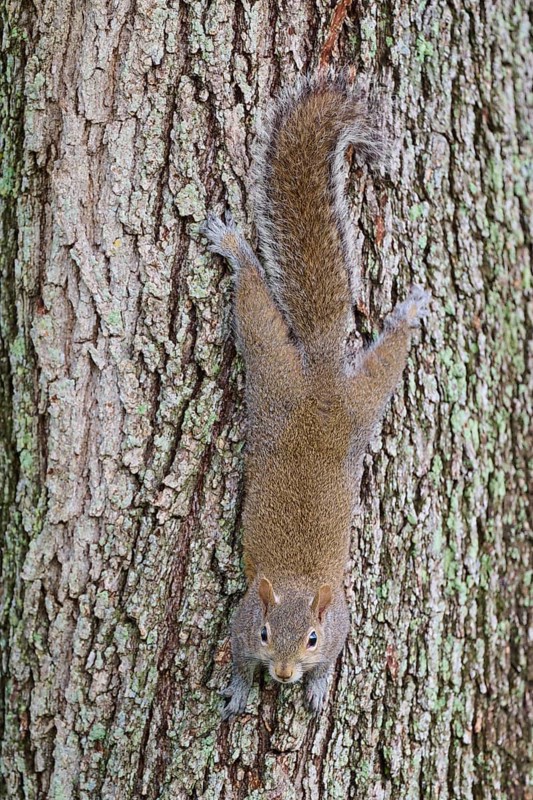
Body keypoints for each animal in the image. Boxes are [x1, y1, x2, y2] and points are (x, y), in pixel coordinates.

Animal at [200, 73, 429, 720]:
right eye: (265, 633)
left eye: (310, 638)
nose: (282, 673)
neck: (298, 582)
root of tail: (324, 380)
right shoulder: (241, 617)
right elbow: (234, 656)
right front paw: (241, 688)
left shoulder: (341, 621)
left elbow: (336, 654)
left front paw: (320, 686)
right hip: (283, 375)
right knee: (258, 305)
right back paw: (236, 246)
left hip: (346, 397)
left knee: (372, 355)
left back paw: (407, 312)